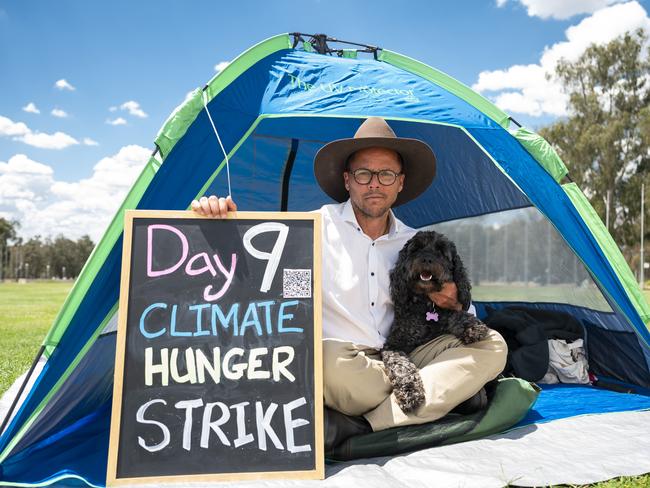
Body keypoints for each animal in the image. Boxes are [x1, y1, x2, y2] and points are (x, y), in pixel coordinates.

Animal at [380, 231, 486, 414]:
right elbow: (401, 366)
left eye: (441, 251)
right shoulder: (394, 344)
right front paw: (410, 392)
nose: (427, 259)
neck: (427, 304)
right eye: (416, 248)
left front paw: (472, 326)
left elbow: (456, 314)